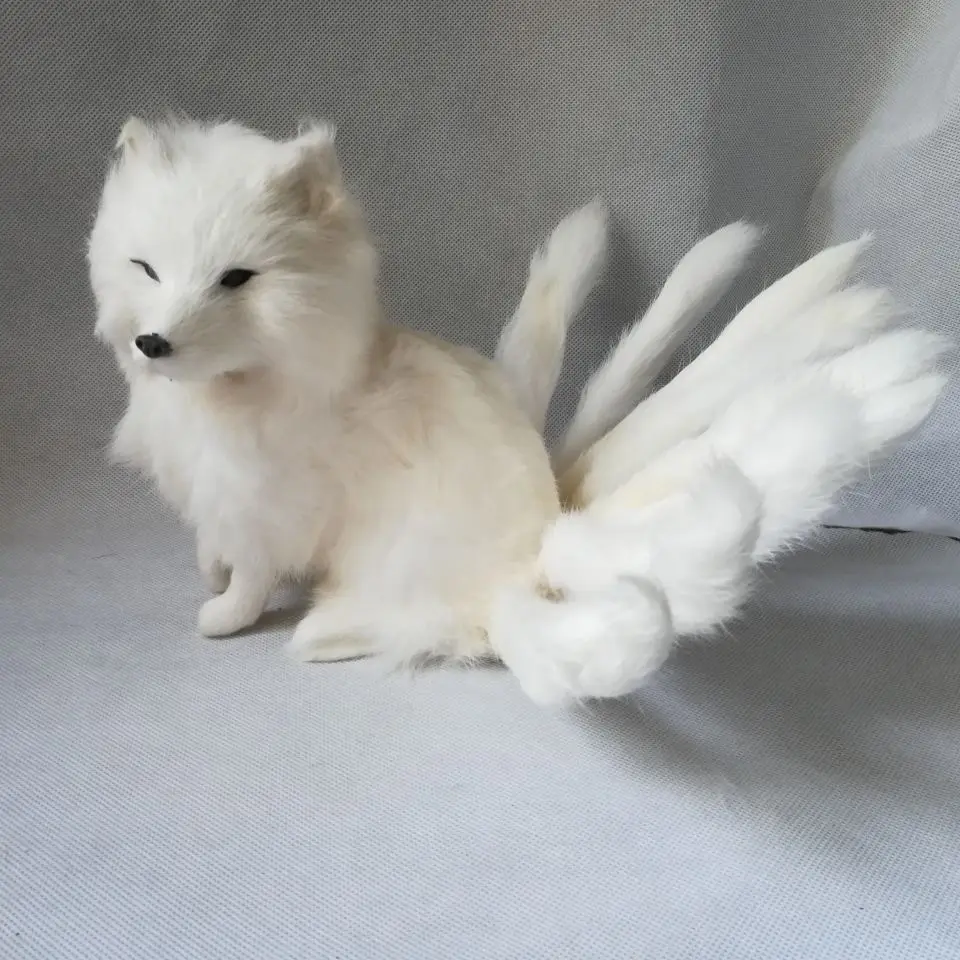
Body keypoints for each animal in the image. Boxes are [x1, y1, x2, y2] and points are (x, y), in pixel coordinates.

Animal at [87, 115, 951, 706]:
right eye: (146, 267)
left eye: (237, 279)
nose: (153, 342)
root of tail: (533, 560)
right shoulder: (217, 499)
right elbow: (215, 547)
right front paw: (208, 574)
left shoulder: (270, 511)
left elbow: (251, 575)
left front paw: (223, 615)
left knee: (437, 633)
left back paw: (324, 636)